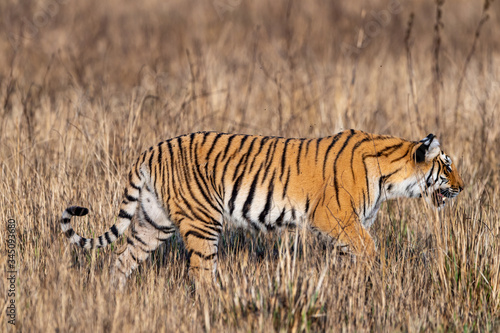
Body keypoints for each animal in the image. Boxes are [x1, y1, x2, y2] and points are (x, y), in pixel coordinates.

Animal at [61, 130, 464, 288]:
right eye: (447, 166)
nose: (462, 188)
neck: (390, 178)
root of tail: (151, 150)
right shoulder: (336, 218)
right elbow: (370, 249)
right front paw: (377, 281)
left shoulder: (347, 227)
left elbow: (350, 257)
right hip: (203, 222)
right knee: (201, 273)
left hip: (153, 222)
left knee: (122, 259)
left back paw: (111, 296)